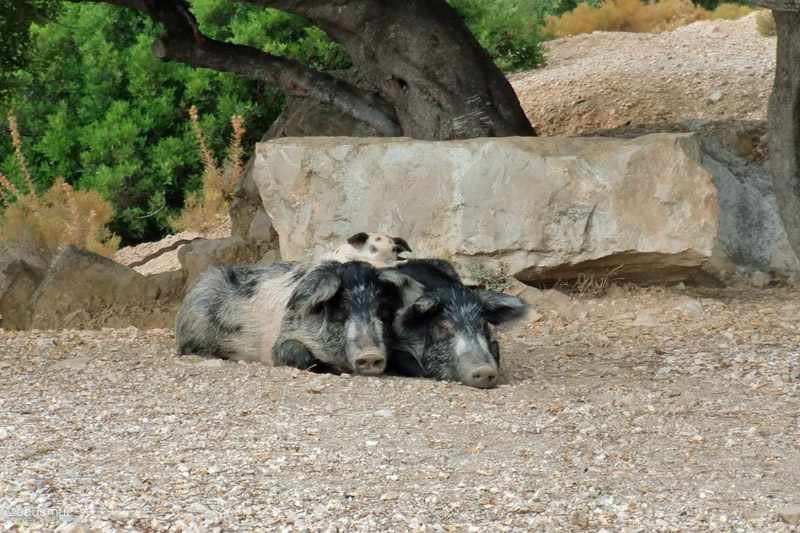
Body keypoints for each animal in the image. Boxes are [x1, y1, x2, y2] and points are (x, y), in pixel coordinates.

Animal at [176, 258, 424, 374]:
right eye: (340, 310)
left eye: (382, 311)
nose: (371, 354)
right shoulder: (280, 342)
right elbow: (297, 354)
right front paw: (330, 369)